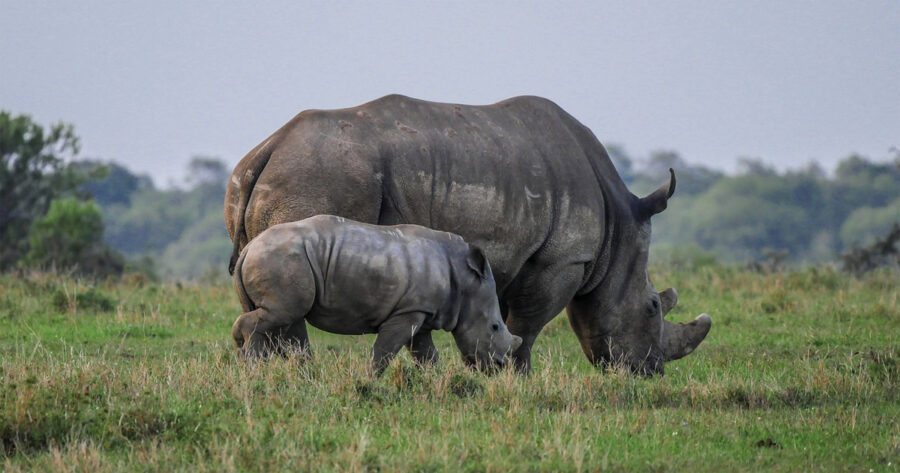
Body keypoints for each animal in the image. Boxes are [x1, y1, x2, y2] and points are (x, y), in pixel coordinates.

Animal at [231, 214, 523, 375]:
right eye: (495, 327)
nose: (499, 367)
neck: (464, 280)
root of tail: (249, 248)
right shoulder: (407, 312)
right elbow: (384, 351)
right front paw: (368, 381)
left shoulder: (420, 312)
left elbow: (427, 356)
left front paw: (439, 383)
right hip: (281, 259)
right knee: (283, 314)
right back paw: (255, 368)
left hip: (277, 258)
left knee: (283, 320)